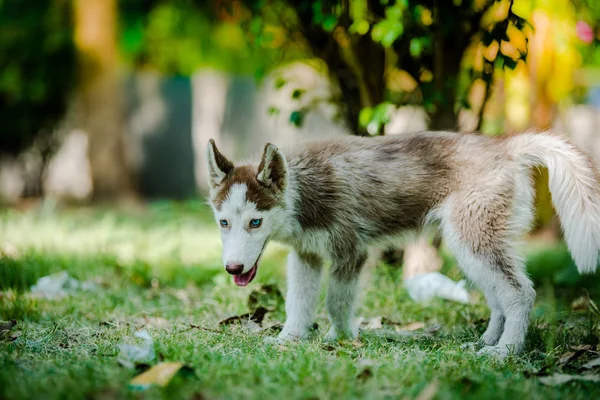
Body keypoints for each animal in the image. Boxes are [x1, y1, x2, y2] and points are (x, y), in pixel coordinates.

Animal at [205, 132, 600, 360]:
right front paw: (290, 339)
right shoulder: (307, 255)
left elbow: (335, 302)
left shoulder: (351, 252)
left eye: (255, 223)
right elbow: (298, 302)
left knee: (519, 292)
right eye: (223, 223)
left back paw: (506, 351)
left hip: (474, 238)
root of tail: (504, 146)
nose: (233, 269)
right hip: (469, 243)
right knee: (498, 295)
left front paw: (339, 338)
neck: (304, 187)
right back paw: (487, 341)